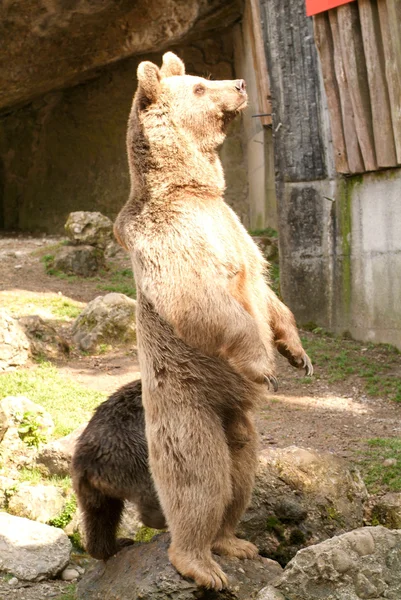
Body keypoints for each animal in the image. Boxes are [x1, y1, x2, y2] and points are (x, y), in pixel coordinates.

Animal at [113, 52, 312, 592]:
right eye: (201, 86)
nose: (241, 83)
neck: (191, 188)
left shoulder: (233, 225)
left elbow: (268, 292)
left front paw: (297, 353)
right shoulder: (173, 237)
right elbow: (203, 299)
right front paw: (264, 365)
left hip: (237, 422)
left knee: (240, 473)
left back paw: (234, 540)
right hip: (186, 404)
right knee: (199, 478)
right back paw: (201, 564)